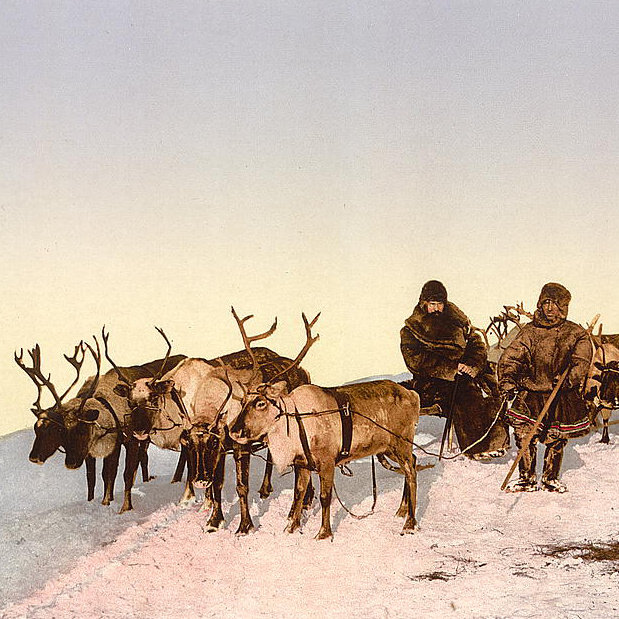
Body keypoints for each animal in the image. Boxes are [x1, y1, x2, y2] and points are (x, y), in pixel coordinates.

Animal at [228, 312, 421, 539]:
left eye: (261, 403)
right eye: (242, 401)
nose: (234, 431)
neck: (296, 427)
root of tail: (414, 395)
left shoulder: (327, 461)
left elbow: (325, 496)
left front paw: (323, 533)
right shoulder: (302, 464)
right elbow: (299, 493)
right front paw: (291, 528)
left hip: (401, 441)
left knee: (411, 472)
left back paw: (409, 523)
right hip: (389, 447)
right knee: (413, 462)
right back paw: (401, 510)